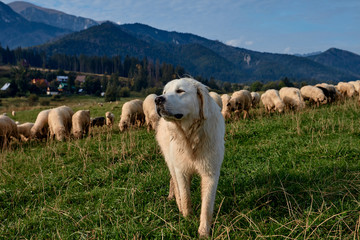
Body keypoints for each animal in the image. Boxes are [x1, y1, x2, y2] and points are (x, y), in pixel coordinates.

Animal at [155, 78, 225, 237]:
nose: (158, 99)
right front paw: (187, 219)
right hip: (171, 161)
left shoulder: (210, 173)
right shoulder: (181, 170)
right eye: (164, 92)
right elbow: (185, 196)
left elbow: (207, 205)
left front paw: (204, 232)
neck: (191, 136)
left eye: (180, 91)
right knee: (174, 183)